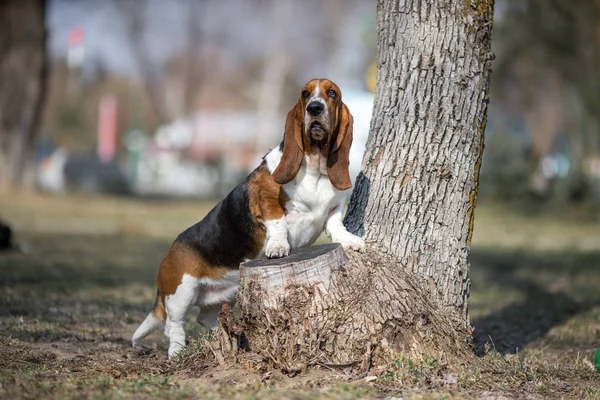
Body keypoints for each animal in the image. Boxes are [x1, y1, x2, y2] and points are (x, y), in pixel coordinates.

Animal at [132, 77, 366, 356]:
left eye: (331, 93)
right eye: (305, 94)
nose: (315, 108)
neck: (315, 168)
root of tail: (169, 253)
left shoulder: (335, 207)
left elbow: (335, 223)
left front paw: (350, 240)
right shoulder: (267, 200)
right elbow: (277, 223)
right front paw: (278, 247)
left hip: (227, 293)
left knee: (205, 318)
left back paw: (225, 338)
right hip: (182, 291)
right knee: (173, 324)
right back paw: (177, 351)